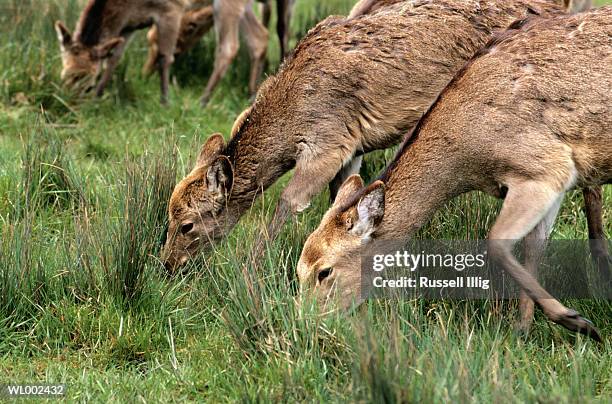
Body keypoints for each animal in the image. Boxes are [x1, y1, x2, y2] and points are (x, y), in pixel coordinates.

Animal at [160, 0, 604, 274]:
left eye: (187, 225)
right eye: (167, 215)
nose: (166, 265)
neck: (289, 111)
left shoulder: (328, 142)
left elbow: (289, 203)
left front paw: (250, 269)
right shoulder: (353, 148)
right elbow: (342, 197)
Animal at [296, 7, 608, 340]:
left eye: (324, 271)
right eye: (299, 268)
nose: (306, 322)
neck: (470, 160)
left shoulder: (543, 169)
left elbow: (496, 242)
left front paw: (577, 321)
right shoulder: (553, 181)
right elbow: (533, 248)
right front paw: (523, 330)